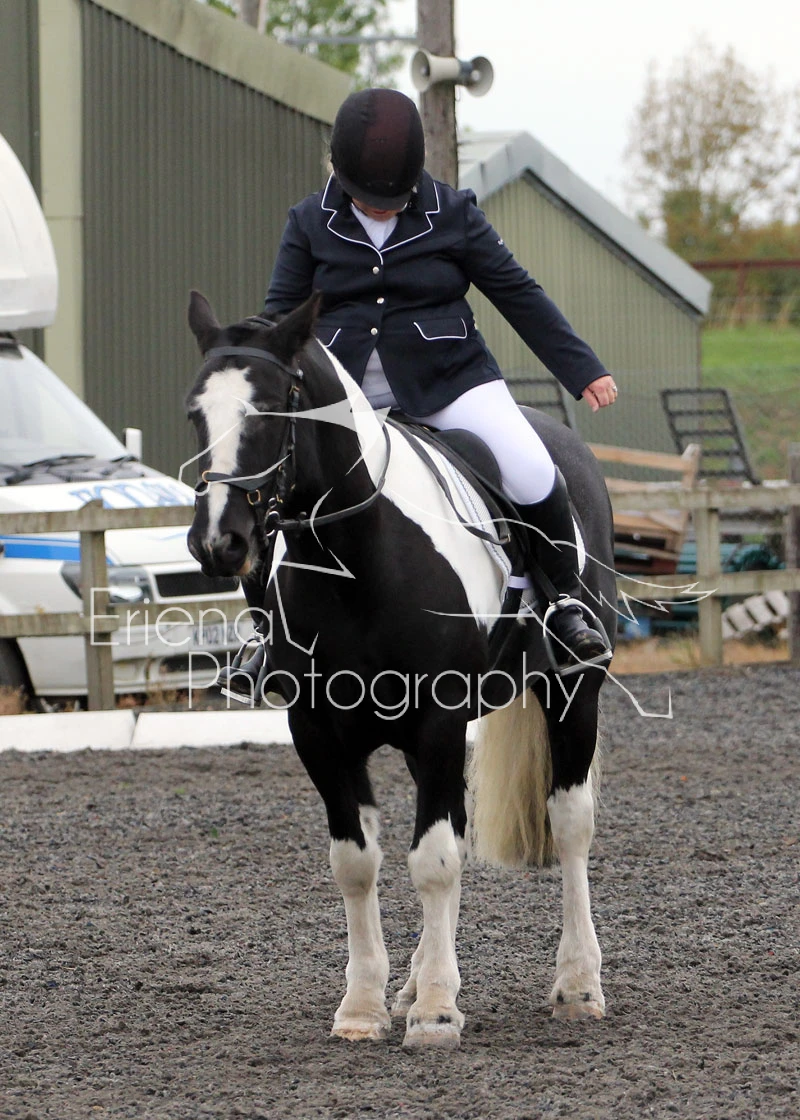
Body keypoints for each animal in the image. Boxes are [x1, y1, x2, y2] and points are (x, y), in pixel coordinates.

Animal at [184, 290, 618, 1049]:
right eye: (195, 413)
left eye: (271, 408)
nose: (219, 542)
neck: (359, 556)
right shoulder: (318, 732)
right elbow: (358, 864)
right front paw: (364, 1005)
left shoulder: (438, 719)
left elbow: (435, 861)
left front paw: (437, 1012)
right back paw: (415, 980)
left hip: (571, 693)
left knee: (569, 825)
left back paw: (576, 983)